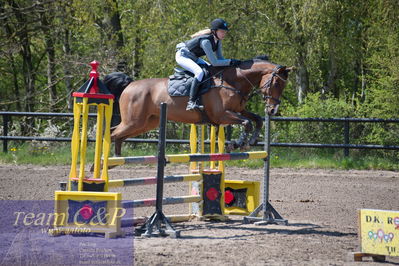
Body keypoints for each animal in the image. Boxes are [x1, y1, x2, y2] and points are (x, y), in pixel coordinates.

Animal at [108, 56, 292, 156]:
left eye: (283, 85)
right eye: (276, 83)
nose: (273, 110)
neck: (233, 82)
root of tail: (130, 85)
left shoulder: (239, 110)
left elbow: (257, 119)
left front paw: (251, 140)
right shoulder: (222, 115)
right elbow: (246, 123)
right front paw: (237, 144)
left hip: (146, 123)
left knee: (119, 136)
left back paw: (116, 159)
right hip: (134, 121)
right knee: (113, 134)